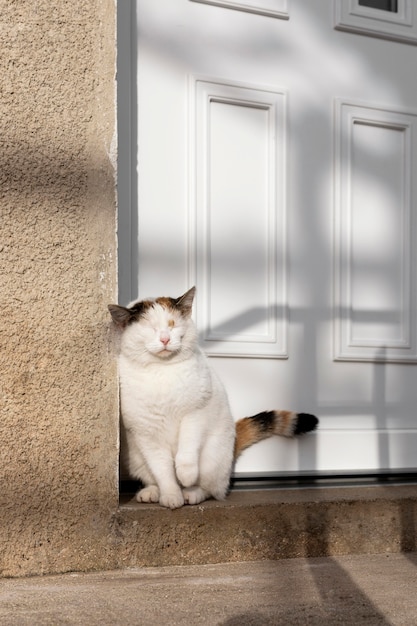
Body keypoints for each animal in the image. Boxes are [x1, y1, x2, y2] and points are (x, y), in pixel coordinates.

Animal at [109, 286, 316, 508]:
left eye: (172, 325)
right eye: (150, 328)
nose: (165, 339)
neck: (162, 371)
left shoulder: (195, 413)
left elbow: (187, 451)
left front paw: (186, 476)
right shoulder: (145, 431)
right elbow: (162, 469)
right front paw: (171, 495)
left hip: (212, 457)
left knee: (213, 489)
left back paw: (192, 493)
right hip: (136, 459)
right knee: (154, 477)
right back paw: (152, 492)